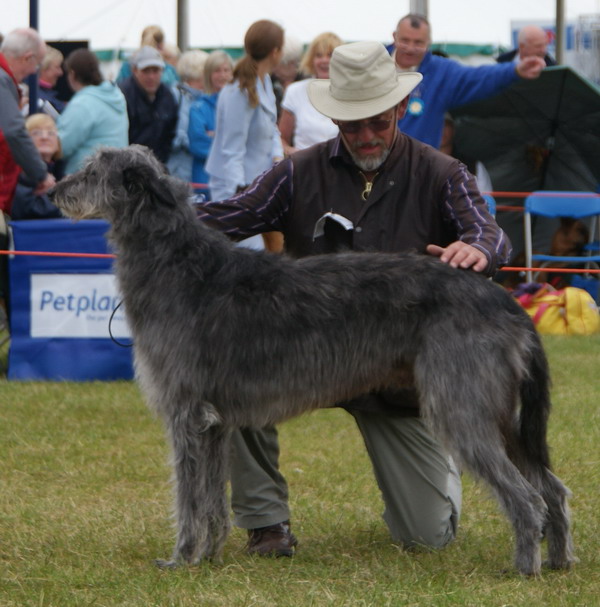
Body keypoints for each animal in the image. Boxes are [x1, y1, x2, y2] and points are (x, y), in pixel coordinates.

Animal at [49, 146, 576, 576]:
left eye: (92, 170)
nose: (53, 190)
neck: (177, 261)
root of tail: (506, 301)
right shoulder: (213, 422)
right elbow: (212, 501)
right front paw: (210, 556)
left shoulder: (185, 415)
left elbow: (188, 497)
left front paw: (181, 558)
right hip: (501, 413)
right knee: (551, 487)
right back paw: (558, 560)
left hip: (460, 405)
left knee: (526, 496)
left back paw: (523, 567)